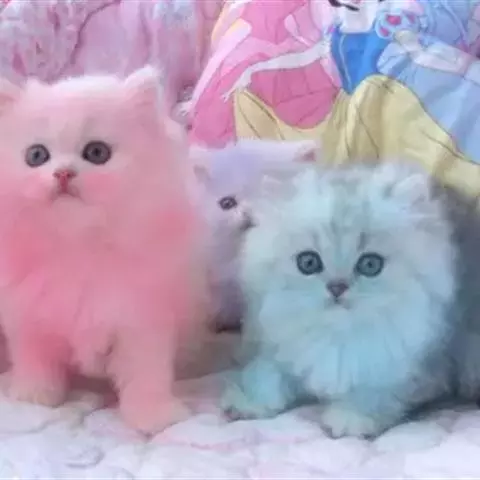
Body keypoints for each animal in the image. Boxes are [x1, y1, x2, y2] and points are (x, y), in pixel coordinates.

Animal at [0, 67, 208, 434]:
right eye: (36, 156)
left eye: (97, 153)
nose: (63, 173)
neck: (78, 248)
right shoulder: (27, 317)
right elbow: (34, 359)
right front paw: (33, 396)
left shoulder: (142, 320)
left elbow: (146, 373)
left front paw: (154, 417)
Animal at [221, 160, 460, 438]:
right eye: (308, 262)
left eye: (370, 264)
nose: (337, 287)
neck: (337, 336)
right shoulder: (277, 350)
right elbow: (265, 375)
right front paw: (246, 402)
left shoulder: (417, 369)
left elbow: (374, 392)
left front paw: (350, 418)